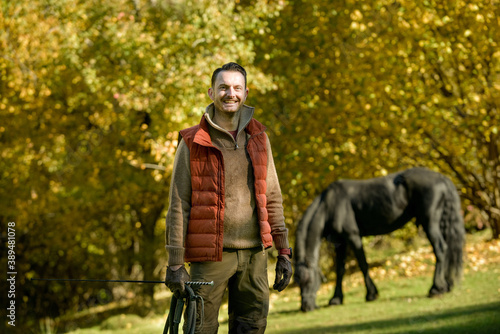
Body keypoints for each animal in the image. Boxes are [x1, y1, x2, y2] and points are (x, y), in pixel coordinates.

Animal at [292, 168, 464, 312]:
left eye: (309, 280)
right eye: (297, 282)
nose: (306, 307)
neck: (329, 205)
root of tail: (442, 178)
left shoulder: (353, 237)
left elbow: (363, 264)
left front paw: (371, 294)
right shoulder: (340, 243)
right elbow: (340, 270)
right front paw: (336, 299)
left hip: (429, 222)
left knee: (440, 249)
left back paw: (435, 289)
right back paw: (447, 285)